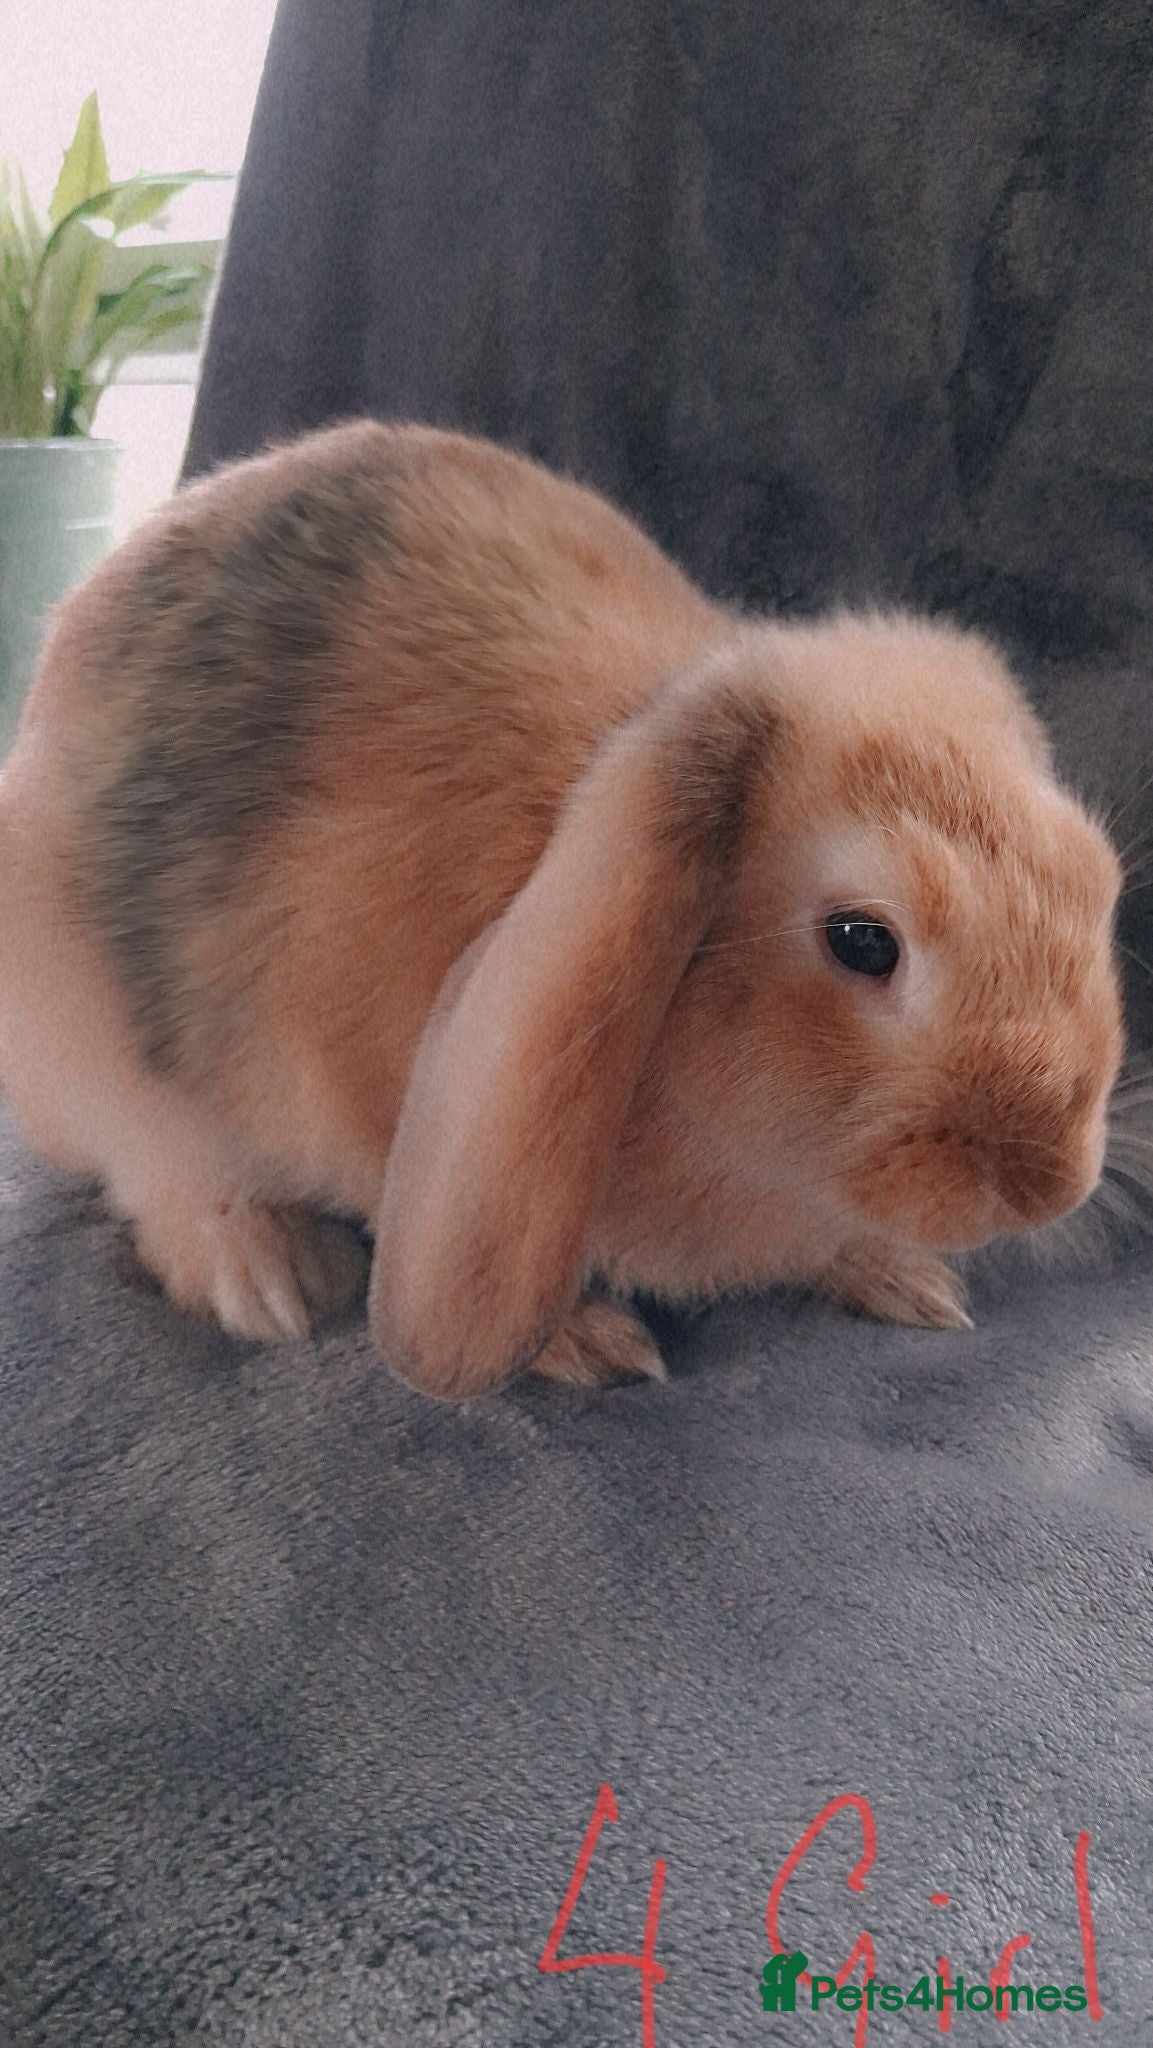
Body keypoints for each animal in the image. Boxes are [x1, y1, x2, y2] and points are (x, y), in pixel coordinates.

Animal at [0, 419, 1124, 1398]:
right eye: (862, 941)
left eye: (1098, 879)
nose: (1048, 1182)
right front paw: (586, 1344)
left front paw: (902, 1279)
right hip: (98, 1057)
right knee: (162, 1170)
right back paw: (271, 1274)